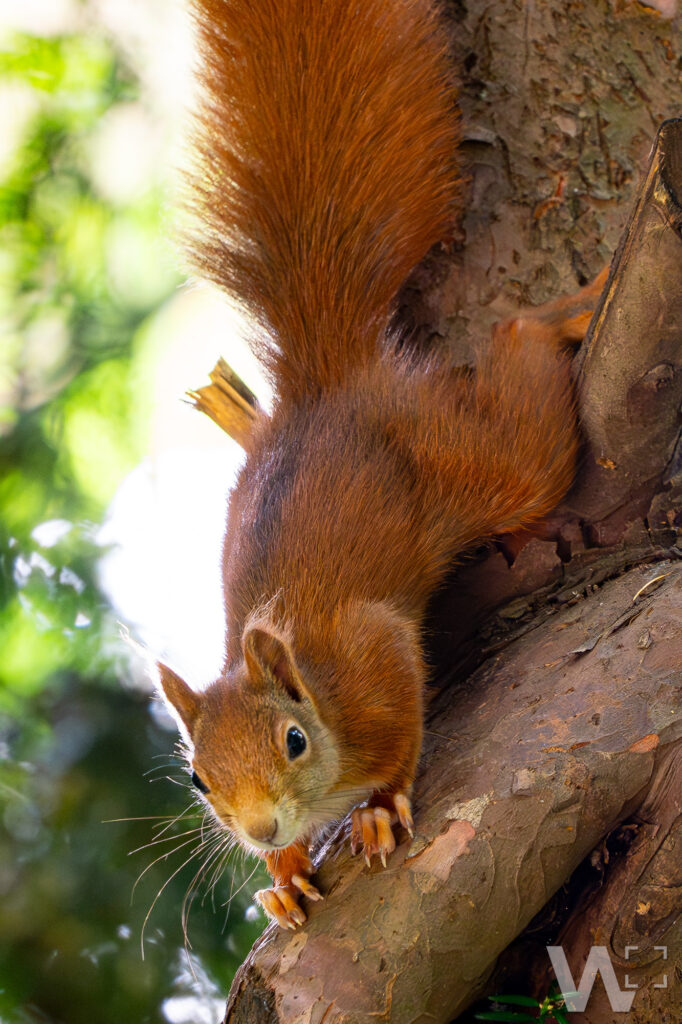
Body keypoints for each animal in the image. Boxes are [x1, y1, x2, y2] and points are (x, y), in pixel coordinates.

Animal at [157, 0, 607, 930]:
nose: (261, 828)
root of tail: (327, 386)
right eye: (199, 780)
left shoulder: (373, 653)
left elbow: (402, 705)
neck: (317, 693)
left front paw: (377, 806)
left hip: (478, 458)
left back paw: (573, 310)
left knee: (520, 364)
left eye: (293, 741)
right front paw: (285, 874)